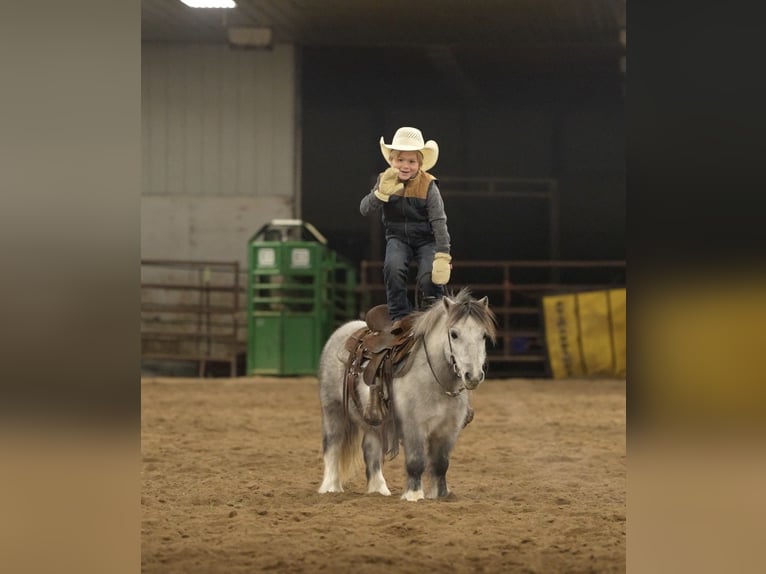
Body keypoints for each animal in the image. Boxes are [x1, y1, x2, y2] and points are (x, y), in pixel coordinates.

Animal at [317, 288, 497, 501]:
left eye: (484, 335)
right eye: (454, 334)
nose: (473, 375)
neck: (435, 381)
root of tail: (343, 331)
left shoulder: (448, 430)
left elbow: (441, 464)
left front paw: (440, 495)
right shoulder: (414, 426)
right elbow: (416, 461)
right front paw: (414, 495)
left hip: (374, 423)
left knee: (371, 450)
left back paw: (379, 489)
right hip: (333, 410)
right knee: (332, 446)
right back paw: (330, 487)